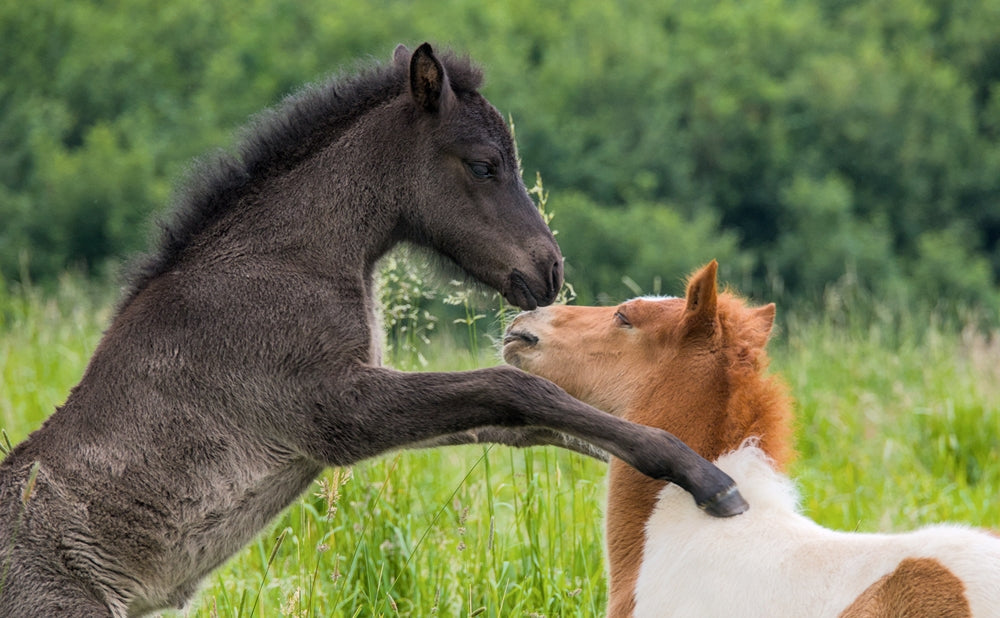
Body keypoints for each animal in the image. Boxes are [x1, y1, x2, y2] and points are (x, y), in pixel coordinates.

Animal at [0, 45, 747, 617]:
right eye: (483, 163)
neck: (288, 260)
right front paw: (707, 479)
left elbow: (529, 421)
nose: (548, 269)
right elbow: (516, 391)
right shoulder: (334, 411)